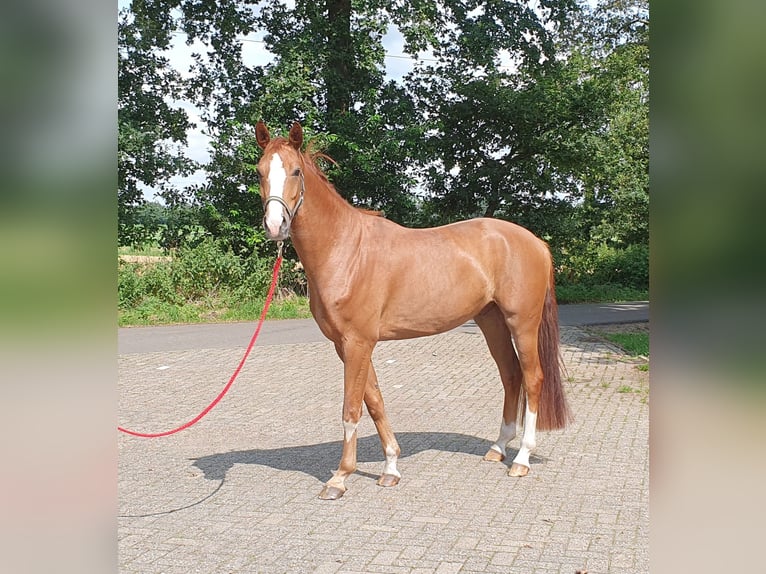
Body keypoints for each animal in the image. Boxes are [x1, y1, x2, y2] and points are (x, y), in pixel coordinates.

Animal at [255, 124, 572, 502]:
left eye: (295, 171)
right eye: (259, 172)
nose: (275, 226)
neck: (346, 250)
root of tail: (536, 243)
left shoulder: (358, 343)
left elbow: (351, 408)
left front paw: (340, 478)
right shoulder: (348, 345)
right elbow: (375, 401)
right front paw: (391, 468)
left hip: (522, 323)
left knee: (533, 378)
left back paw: (521, 459)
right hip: (491, 321)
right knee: (511, 376)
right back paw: (497, 448)